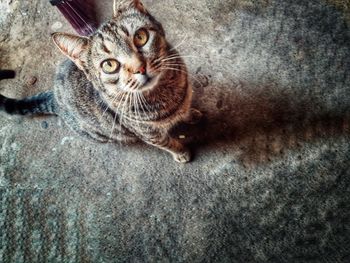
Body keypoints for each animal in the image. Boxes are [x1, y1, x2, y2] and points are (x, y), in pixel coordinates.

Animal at [0, 0, 202, 163]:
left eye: (141, 37)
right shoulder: (149, 133)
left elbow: (186, 109)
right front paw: (181, 152)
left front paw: (191, 113)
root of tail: (55, 98)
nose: (140, 68)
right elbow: (167, 143)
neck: (167, 93)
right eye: (109, 65)